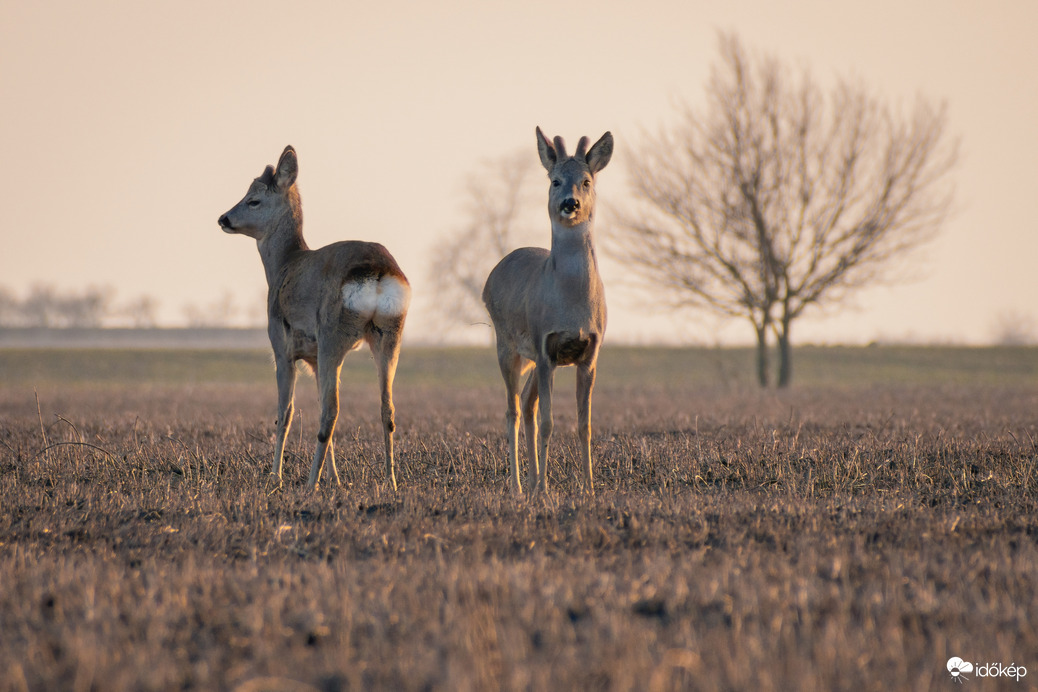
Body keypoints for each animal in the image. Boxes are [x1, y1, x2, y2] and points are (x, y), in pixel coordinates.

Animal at [218, 145, 410, 491]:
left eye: (253, 199)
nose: (223, 218)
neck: (284, 264)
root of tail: (378, 271)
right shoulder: (315, 357)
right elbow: (317, 402)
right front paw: (335, 477)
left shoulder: (281, 347)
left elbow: (285, 412)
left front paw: (275, 477)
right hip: (389, 333)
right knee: (386, 410)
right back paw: (389, 481)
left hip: (333, 331)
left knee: (331, 411)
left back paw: (309, 483)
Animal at [482, 127, 613, 495]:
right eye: (555, 181)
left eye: (586, 181)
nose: (570, 203)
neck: (570, 303)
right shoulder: (545, 347)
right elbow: (549, 422)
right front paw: (544, 490)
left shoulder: (589, 353)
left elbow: (584, 425)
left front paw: (589, 488)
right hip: (507, 345)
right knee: (513, 410)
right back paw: (518, 486)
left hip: (530, 359)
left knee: (527, 404)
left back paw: (530, 481)